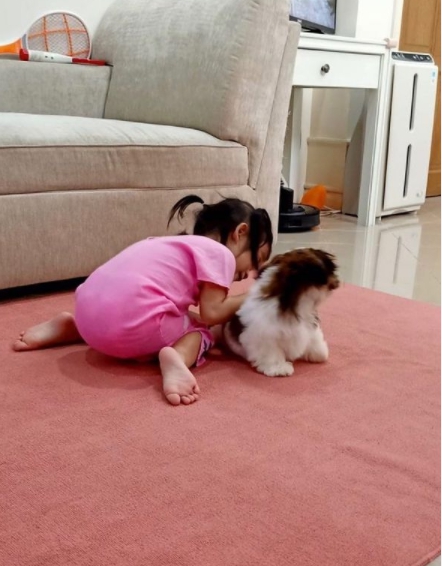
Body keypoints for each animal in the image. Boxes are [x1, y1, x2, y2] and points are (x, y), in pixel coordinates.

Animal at [223, 248, 339, 377]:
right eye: (318, 272)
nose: (335, 283)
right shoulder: (266, 336)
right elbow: (271, 353)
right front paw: (278, 368)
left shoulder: (310, 326)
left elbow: (314, 339)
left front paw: (318, 352)